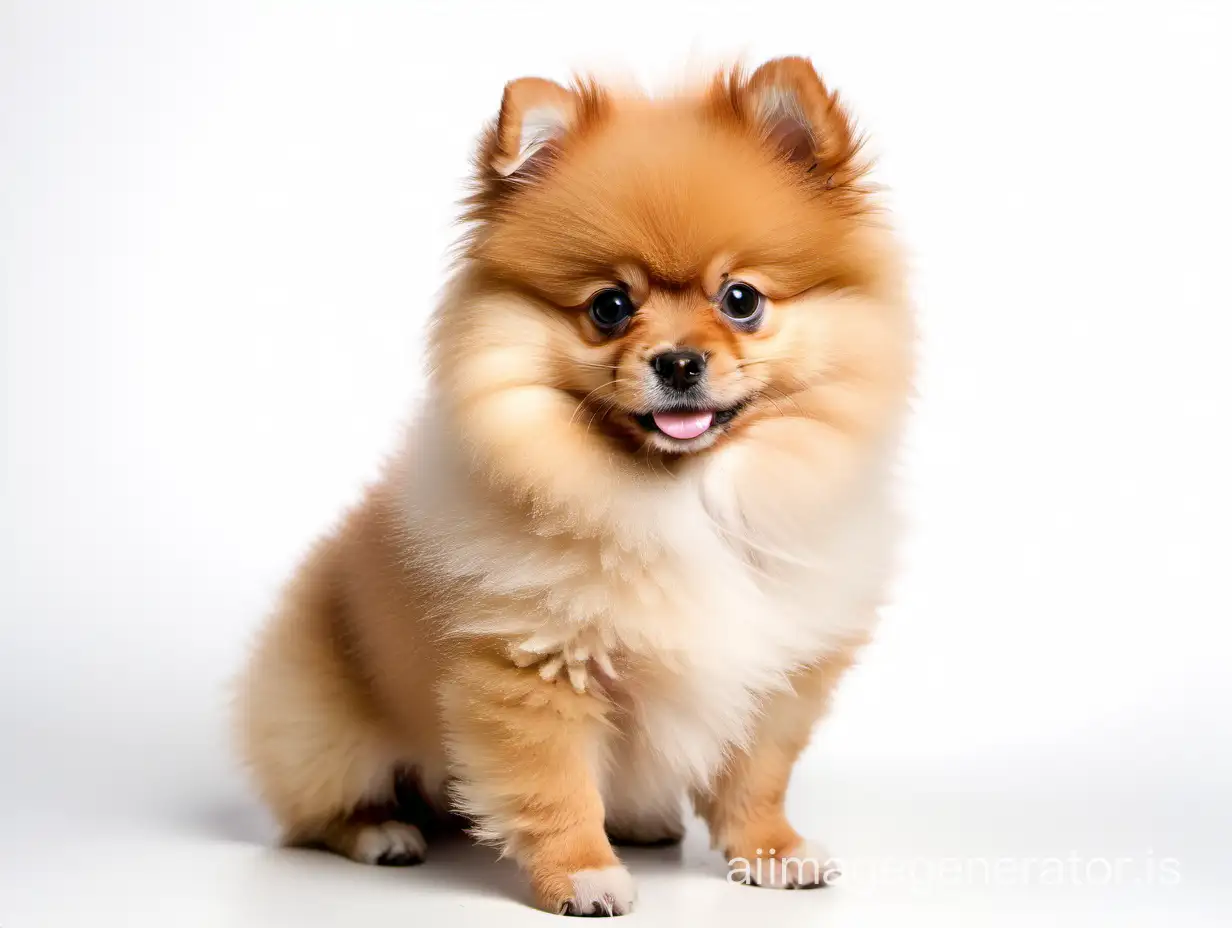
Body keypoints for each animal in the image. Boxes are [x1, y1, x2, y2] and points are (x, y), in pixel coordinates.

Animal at [237, 56, 916, 911]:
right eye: (610, 307)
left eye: (741, 300)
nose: (678, 362)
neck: (684, 499)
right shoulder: (533, 667)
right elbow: (555, 789)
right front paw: (583, 875)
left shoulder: (780, 669)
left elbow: (756, 777)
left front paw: (771, 852)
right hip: (322, 728)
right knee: (316, 811)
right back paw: (382, 832)